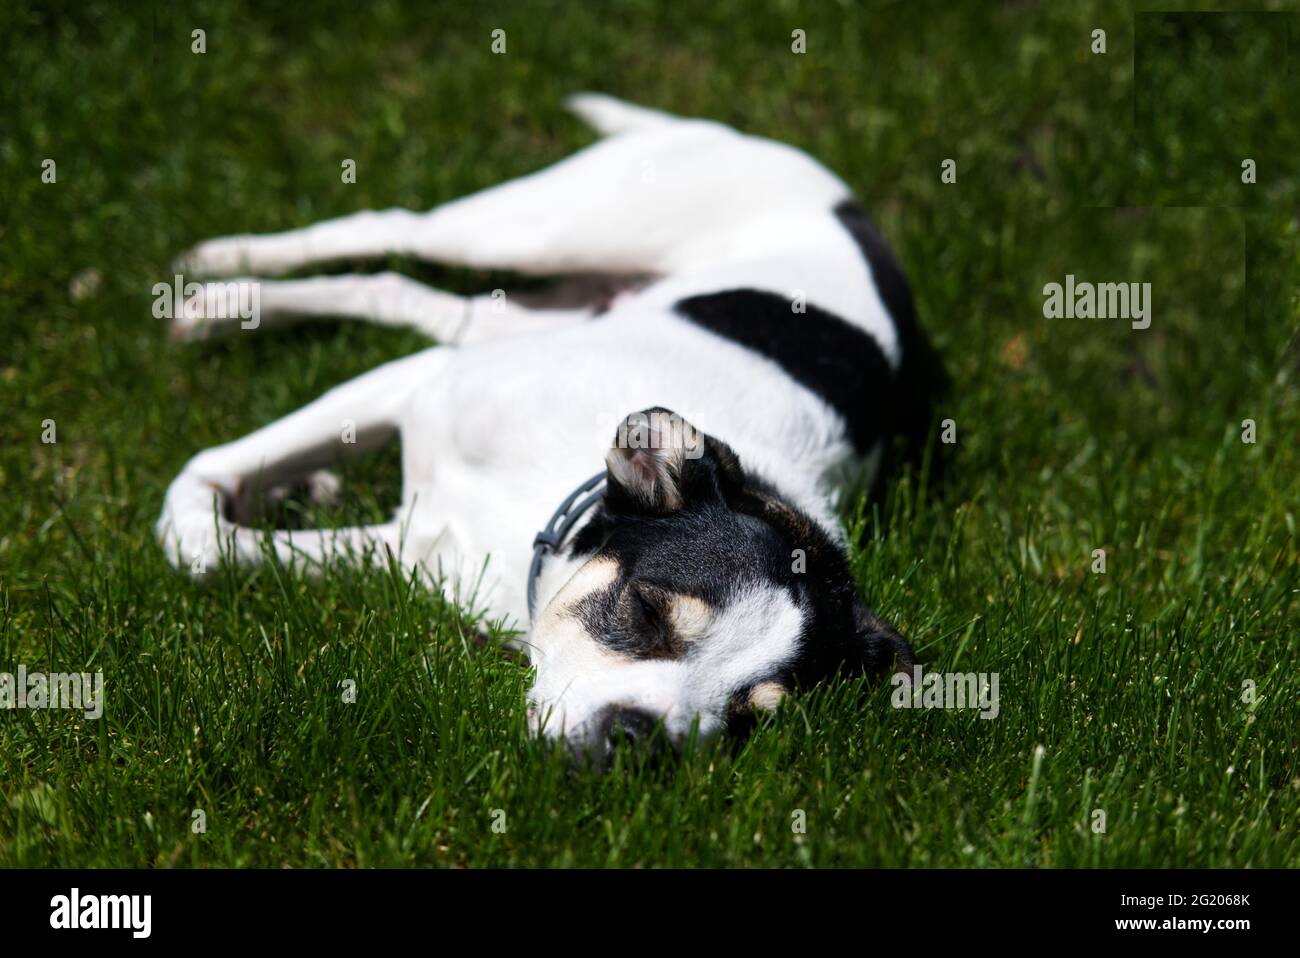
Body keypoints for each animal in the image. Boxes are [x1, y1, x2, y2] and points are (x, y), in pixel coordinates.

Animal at [157, 95, 930, 753]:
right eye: (646, 612)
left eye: (751, 719)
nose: (636, 740)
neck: (537, 507)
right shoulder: (418, 385)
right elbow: (195, 496)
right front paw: (227, 496)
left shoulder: (410, 546)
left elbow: (216, 542)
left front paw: (265, 502)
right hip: (537, 229)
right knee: (388, 228)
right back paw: (223, 281)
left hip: (530, 305)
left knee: (408, 294)